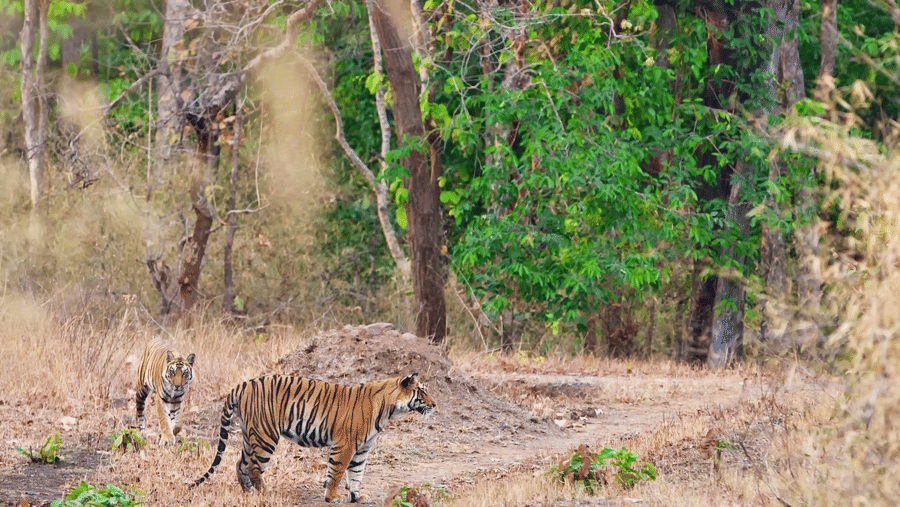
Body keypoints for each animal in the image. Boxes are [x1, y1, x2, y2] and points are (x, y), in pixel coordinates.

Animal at [191, 373, 435, 503]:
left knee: (239, 463)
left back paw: (248, 492)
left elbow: (356, 474)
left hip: (249, 435)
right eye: (422, 391)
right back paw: (265, 493)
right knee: (253, 466)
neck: (389, 410)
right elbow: (337, 472)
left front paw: (357, 497)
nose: (434, 405)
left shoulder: (362, 449)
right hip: (265, 435)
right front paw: (333, 497)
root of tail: (243, 384)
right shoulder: (345, 445)